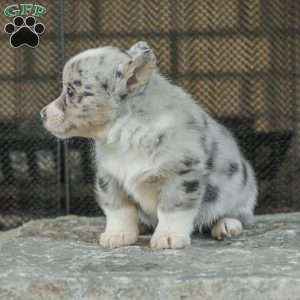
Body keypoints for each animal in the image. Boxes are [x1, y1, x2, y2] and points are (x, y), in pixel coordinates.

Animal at [41, 41, 258, 250]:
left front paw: (168, 238)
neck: (125, 133)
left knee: (238, 213)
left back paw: (227, 225)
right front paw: (117, 235)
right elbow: (119, 210)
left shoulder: (181, 174)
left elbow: (172, 210)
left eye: (70, 92)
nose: (42, 114)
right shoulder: (110, 178)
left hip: (241, 189)